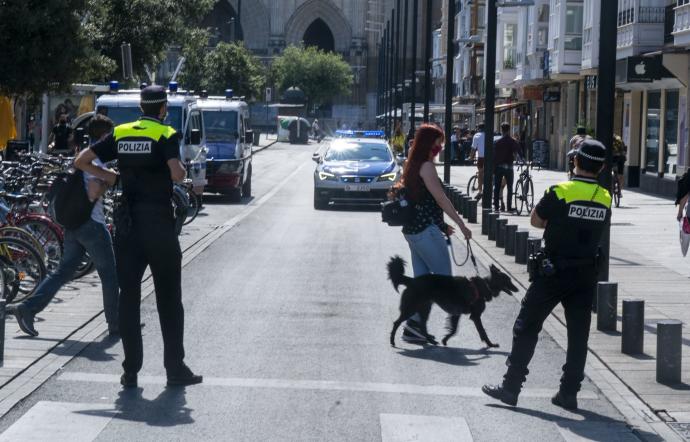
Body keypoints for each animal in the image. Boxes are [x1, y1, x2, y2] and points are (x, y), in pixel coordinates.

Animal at [388, 256, 516, 348]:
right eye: (508, 280)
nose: (517, 289)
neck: (486, 285)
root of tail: (411, 280)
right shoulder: (475, 316)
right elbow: (482, 331)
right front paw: (490, 344)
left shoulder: (457, 313)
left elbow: (454, 329)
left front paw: (445, 339)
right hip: (411, 308)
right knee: (396, 323)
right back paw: (392, 341)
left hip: (425, 308)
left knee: (422, 326)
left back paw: (431, 341)